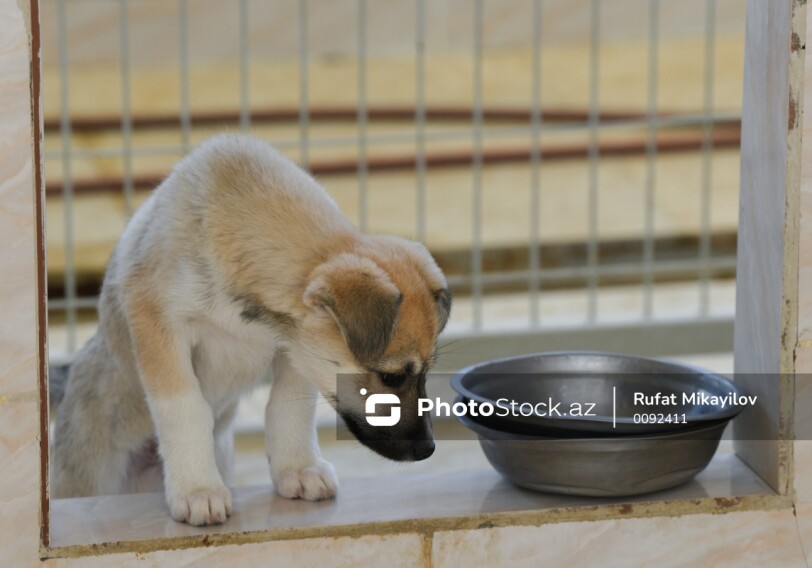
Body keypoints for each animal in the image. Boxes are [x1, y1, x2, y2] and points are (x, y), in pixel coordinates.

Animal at [50, 132, 450, 524]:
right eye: (392, 377)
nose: (428, 450)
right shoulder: (157, 326)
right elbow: (185, 409)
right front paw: (197, 489)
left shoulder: (295, 347)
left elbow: (288, 406)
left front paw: (298, 469)